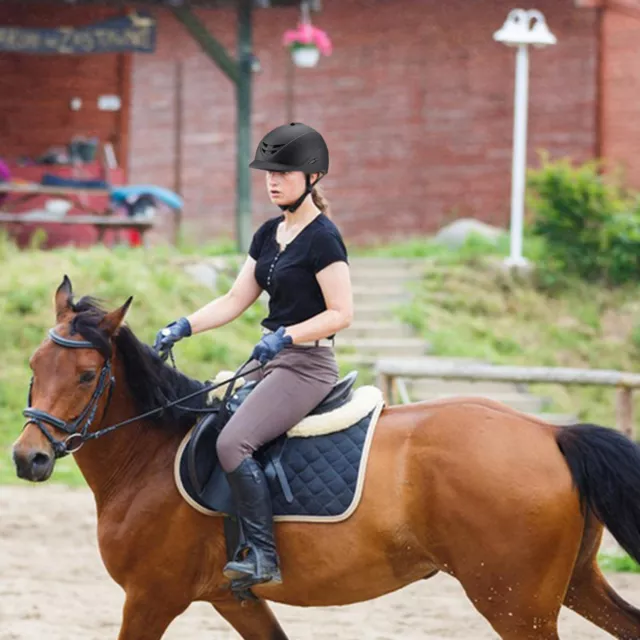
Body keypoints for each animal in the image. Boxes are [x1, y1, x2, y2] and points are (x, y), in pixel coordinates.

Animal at [10, 278, 640, 636]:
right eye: (35, 365)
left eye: (87, 375)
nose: (28, 459)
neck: (151, 457)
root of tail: (551, 433)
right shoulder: (232, 600)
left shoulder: (150, 598)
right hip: (573, 584)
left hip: (515, 604)